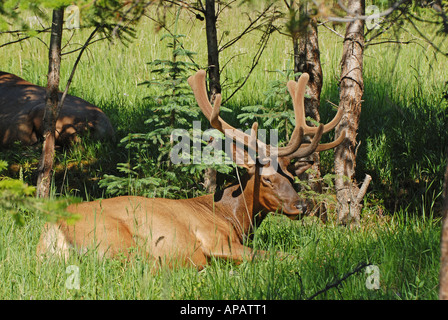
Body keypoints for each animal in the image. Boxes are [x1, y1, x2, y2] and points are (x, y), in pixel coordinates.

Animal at [37, 69, 346, 268]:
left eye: (291, 176)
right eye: (267, 180)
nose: (301, 206)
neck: (232, 218)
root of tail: (54, 231)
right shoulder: (216, 240)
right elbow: (278, 255)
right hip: (117, 242)